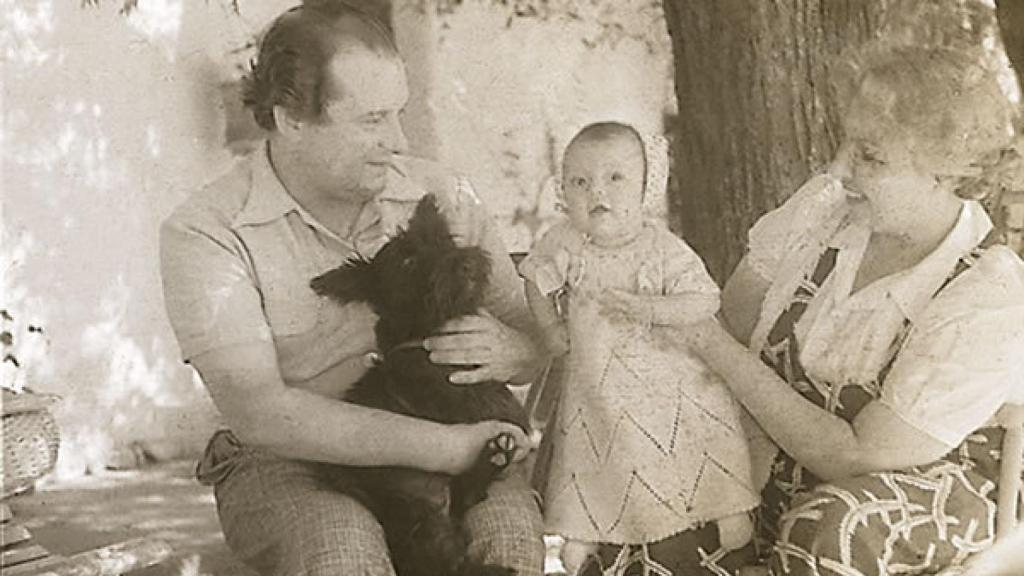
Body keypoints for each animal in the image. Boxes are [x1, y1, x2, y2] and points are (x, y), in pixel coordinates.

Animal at [309, 193, 528, 573]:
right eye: (408, 261)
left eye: (444, 240)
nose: (464, 264)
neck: (427, 332)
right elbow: (487, 404)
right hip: (418, 519)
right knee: (444, 563)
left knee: (470, 497)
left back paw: (496, 456)